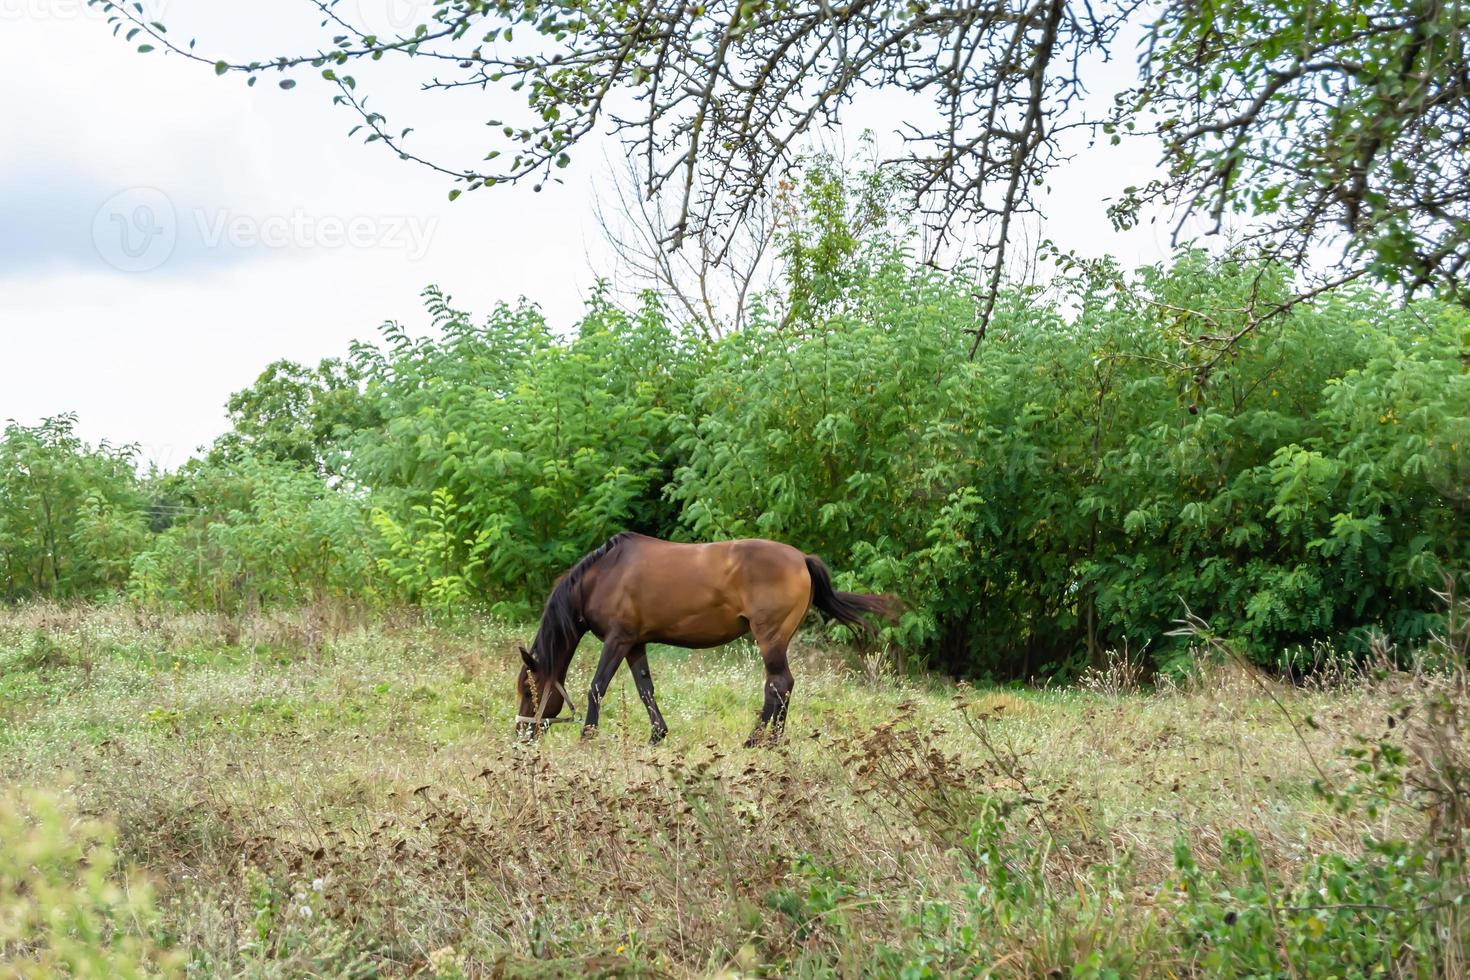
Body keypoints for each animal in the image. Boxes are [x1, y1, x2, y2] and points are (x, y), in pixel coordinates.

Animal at [511, 531, 887, 746]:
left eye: (529, 690)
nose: (522, 735)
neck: (604, 575)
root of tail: (802, 559)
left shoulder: (617, 640)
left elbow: (597, 687)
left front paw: (587, 736)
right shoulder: (635, 643)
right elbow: (645, 689)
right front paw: (657, 735)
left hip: (770, 638)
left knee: (779, 684)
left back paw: (759, 740)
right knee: (782, 686)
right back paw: (771, 740)